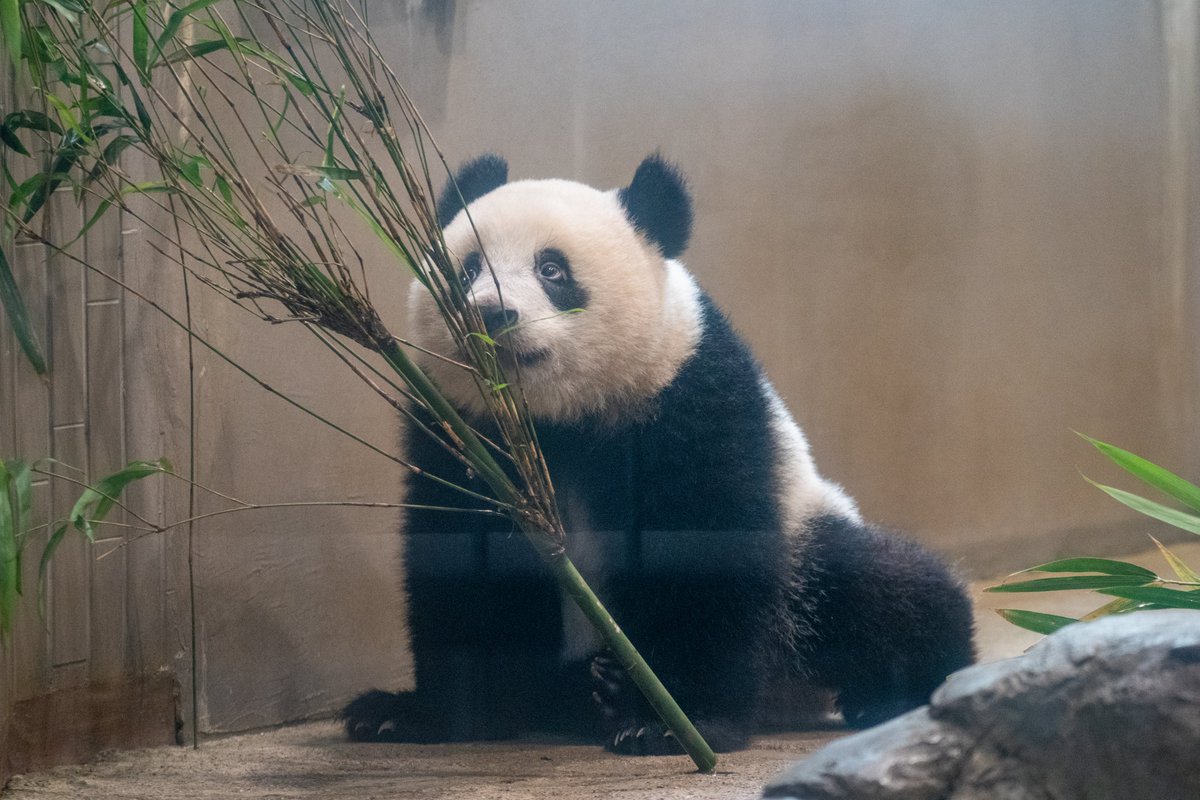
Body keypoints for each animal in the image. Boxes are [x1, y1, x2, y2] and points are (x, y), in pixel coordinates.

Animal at [345, 153, 974, 753]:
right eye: (468, 268)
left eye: (552, 269)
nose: (489, 313)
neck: (555, 422)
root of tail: (789, 697)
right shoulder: (460, 430)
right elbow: (463, 562)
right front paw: (424, 714)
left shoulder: (689, 397)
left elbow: (700, 550)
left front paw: (675, 724)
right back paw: (586, 688)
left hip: (806, 540)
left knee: (880, 588)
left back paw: (898, 693)